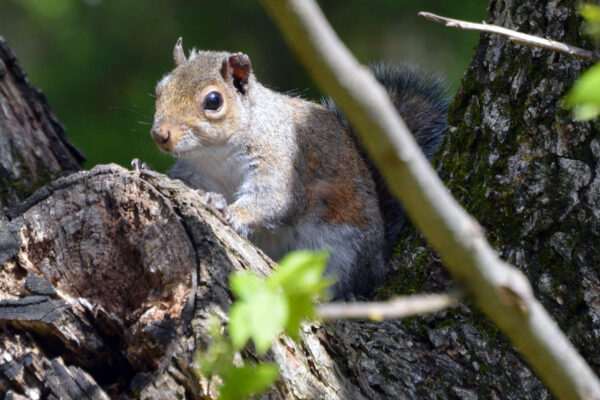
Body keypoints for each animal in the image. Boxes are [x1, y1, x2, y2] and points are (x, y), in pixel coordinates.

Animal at [151, 38, 446, 300]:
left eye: (213, 101)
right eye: (160, 90)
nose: (160, 134)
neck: (216, 154)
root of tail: (379, 259)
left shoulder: (283, 160)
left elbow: (275, 198)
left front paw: (230, 210)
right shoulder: (195, 171)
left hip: (345, 254)